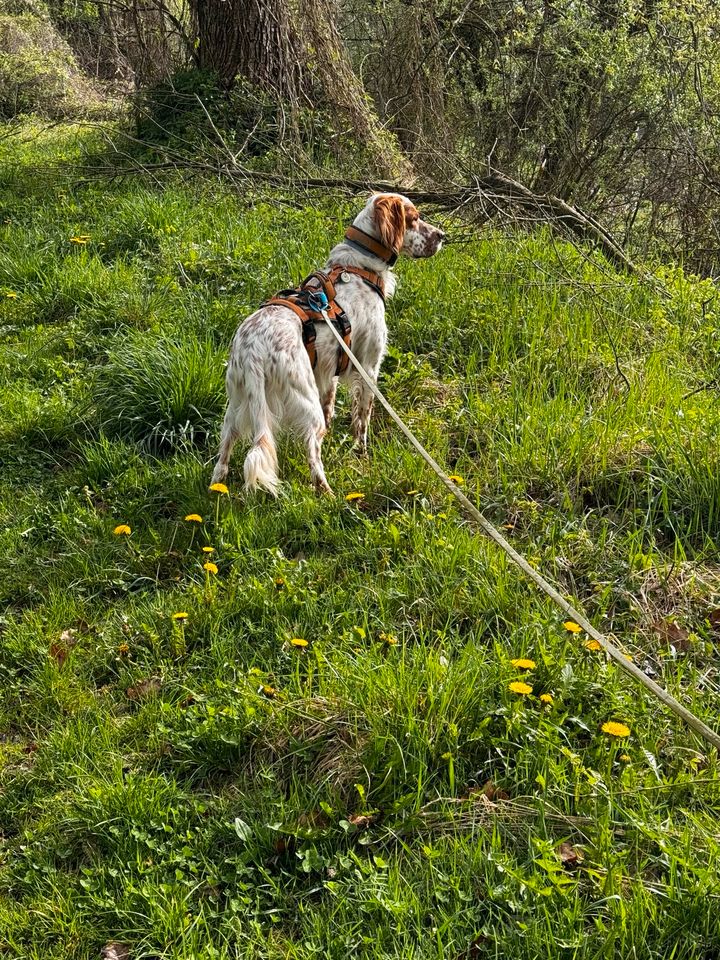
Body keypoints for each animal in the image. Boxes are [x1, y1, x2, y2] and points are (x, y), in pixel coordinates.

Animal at [211, 193, 442, 496]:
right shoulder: (368, 367)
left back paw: (216, 486)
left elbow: (330, 406)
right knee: (312, 454)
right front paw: (361, 453)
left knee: (224, 454)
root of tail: (254, 350)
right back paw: (326, 492)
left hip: (237, 404)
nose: (442, 236)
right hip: (303, 399)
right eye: (414, 218)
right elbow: (362, 419)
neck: (361, 268)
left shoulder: (327, 370)